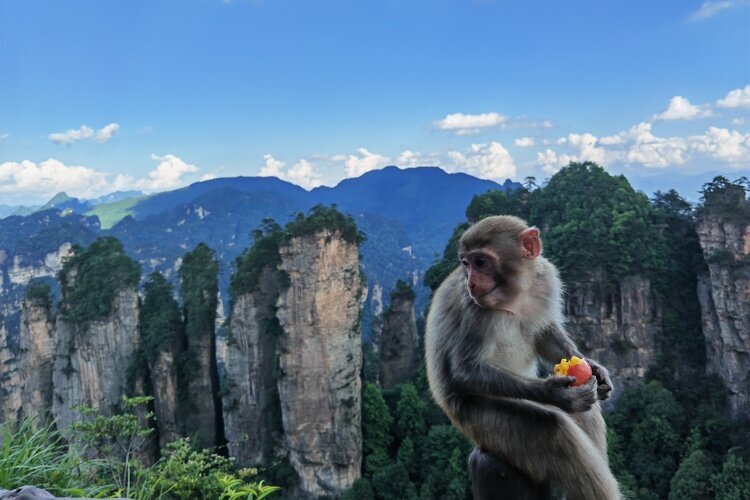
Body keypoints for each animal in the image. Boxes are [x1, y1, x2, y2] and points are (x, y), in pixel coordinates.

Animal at [428, 215, 624, 500]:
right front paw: (555, 393)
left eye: (480, 262)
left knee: (585, 413)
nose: (471, 282)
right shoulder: (475, 308)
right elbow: (465, 369)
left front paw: (596, 369)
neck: (514, 293)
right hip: (482, 422)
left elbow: (545, 333)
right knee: (553, 429)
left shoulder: (546, 279)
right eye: (466, 264)